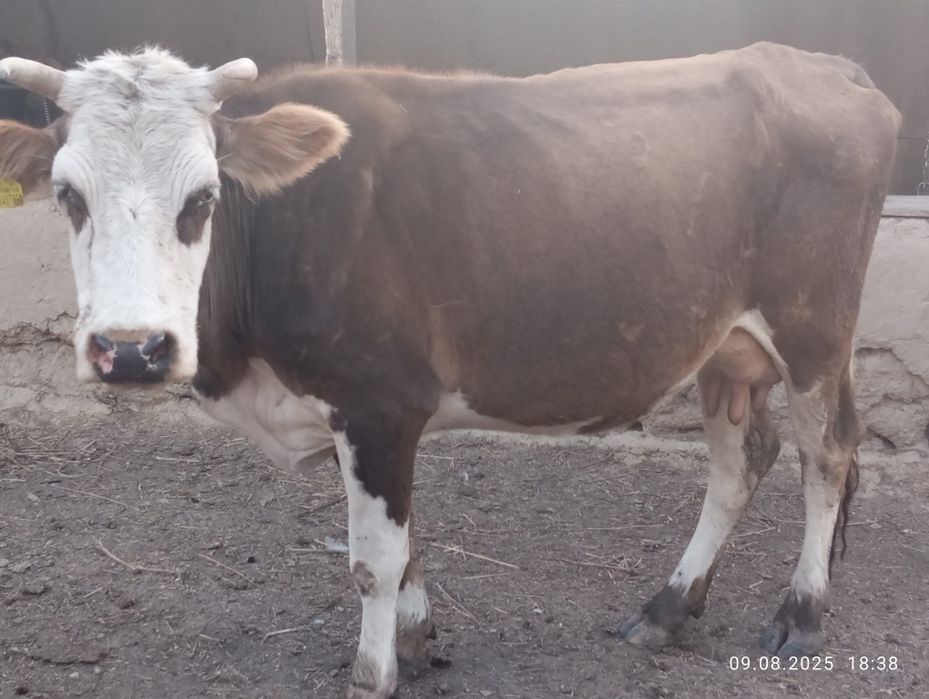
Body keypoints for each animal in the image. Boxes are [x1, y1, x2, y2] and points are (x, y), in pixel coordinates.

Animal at [0, 42, 900, 698]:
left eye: (204, 197)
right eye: (67, 194)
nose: (130, 348)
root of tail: (824, 66)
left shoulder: (376, 401)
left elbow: (372, 558)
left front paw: (372, 674)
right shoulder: (371, 415)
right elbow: (406, 544)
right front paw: (416, 637)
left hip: (813, 326)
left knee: (825, 456)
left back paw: (801, 615)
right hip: (724, 343)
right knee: (739, 462)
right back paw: (668, 608)